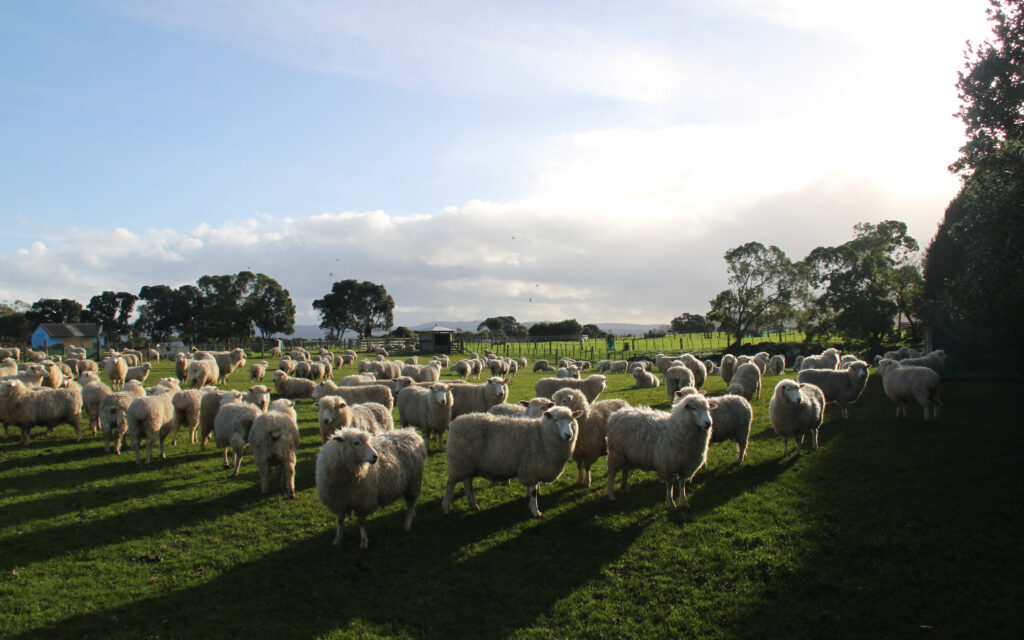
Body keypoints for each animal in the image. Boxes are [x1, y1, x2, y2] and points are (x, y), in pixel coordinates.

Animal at [442, 407, 581, 516]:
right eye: (555, 420)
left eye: (571, 420)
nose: (568, 435)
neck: (541, 435)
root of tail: (455, 422)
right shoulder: (530, 470)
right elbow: (533, 492)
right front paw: (535, 511)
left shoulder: (535, 469)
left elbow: (535, 489)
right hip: (458, 461)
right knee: (451, 484)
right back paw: (446, 507)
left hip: (468, 464)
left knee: (467, 483)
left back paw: (473, 505)